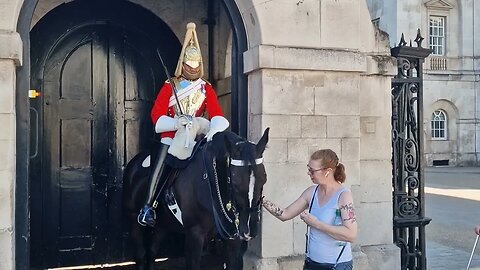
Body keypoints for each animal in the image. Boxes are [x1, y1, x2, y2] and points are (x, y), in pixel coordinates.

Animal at [122, 127, 268, 268]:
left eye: (264, 179)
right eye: (236, 181)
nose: (249, 228)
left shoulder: (233, 239)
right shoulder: (194, 235)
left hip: (162, 225)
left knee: (152, 252)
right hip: (133, 221)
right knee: (141, 256)